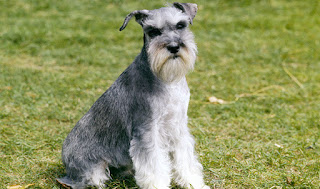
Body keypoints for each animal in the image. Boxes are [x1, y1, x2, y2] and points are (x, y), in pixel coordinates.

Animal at [57, 2, 210, 189]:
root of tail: (66, 171)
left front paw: (194, 183)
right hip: (93, 171)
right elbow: (154, 166)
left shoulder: (178, 127)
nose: (173, 47)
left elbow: (185, 160)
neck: (167, 81)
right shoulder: (147, 131)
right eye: (153, 31)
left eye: (181, 25)